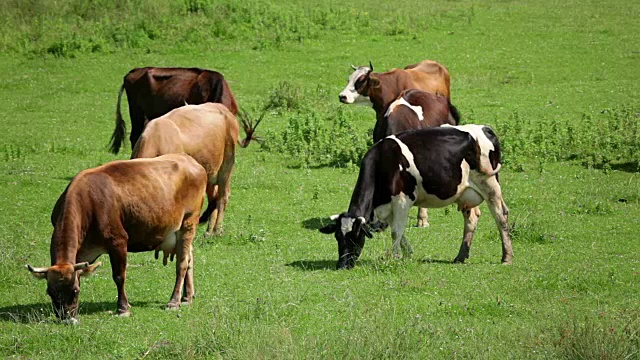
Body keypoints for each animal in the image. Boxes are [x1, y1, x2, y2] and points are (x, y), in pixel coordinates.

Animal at [26, 153, 208, 322]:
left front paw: (123, 308)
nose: (66, 317)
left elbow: (119, 276)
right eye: (49, 292)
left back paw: (174, 301)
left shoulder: (118, 241)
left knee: (182, 263)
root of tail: (190, 160)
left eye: (75, 291)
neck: (87, 201)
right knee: (189, 258)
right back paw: (187, 296)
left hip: (188, 223)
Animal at [131, 102, 262, 238]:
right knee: (214, 197)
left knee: (223, 196)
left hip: (227, 165)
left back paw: (217, 230)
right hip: (210, 173)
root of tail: (224, 110)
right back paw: (209, 231)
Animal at [318, 125, 510, 268]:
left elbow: (396, 232)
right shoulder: (388, 208)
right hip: (466, 193)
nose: (342, 265)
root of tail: (485, 128)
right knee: (472, 218)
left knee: (501, 216)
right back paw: (460, 256)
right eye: (338, 237)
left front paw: (394, 257)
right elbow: (399, 231)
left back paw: (506, 257)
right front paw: (407, 254)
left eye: (355, 236)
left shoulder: (402, 200)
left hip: (490, 184)